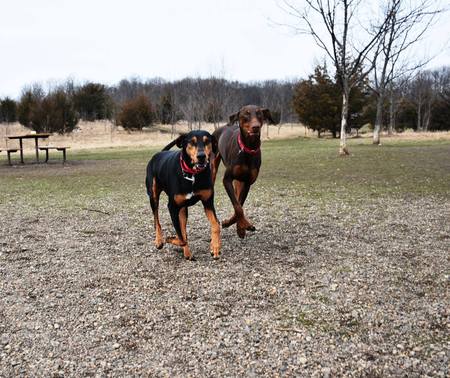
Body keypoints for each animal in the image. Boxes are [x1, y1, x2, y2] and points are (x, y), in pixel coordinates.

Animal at [146, 131, 220, 260]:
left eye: (207, 141)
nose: (201, 156)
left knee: (182, 225)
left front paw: (214, 247)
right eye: (192, 142)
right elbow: (181, 238)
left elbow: (216, 224)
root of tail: (158, 154)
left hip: (183, 209)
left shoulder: (208, 202)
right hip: (153, 195)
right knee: (156, 219)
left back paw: (187, 253)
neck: (192, 175)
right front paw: (169, 239)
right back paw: (159, 240)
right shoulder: (172, 207)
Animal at [213, 105, 272, 238]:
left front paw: (241, 227)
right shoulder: (226, 180)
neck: (248, 148)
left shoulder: (247, 182)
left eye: (259, 114)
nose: (255, 126)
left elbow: (239, 205)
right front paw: (240, 226)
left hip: (239, 181)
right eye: (246, 114)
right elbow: (238, 207)